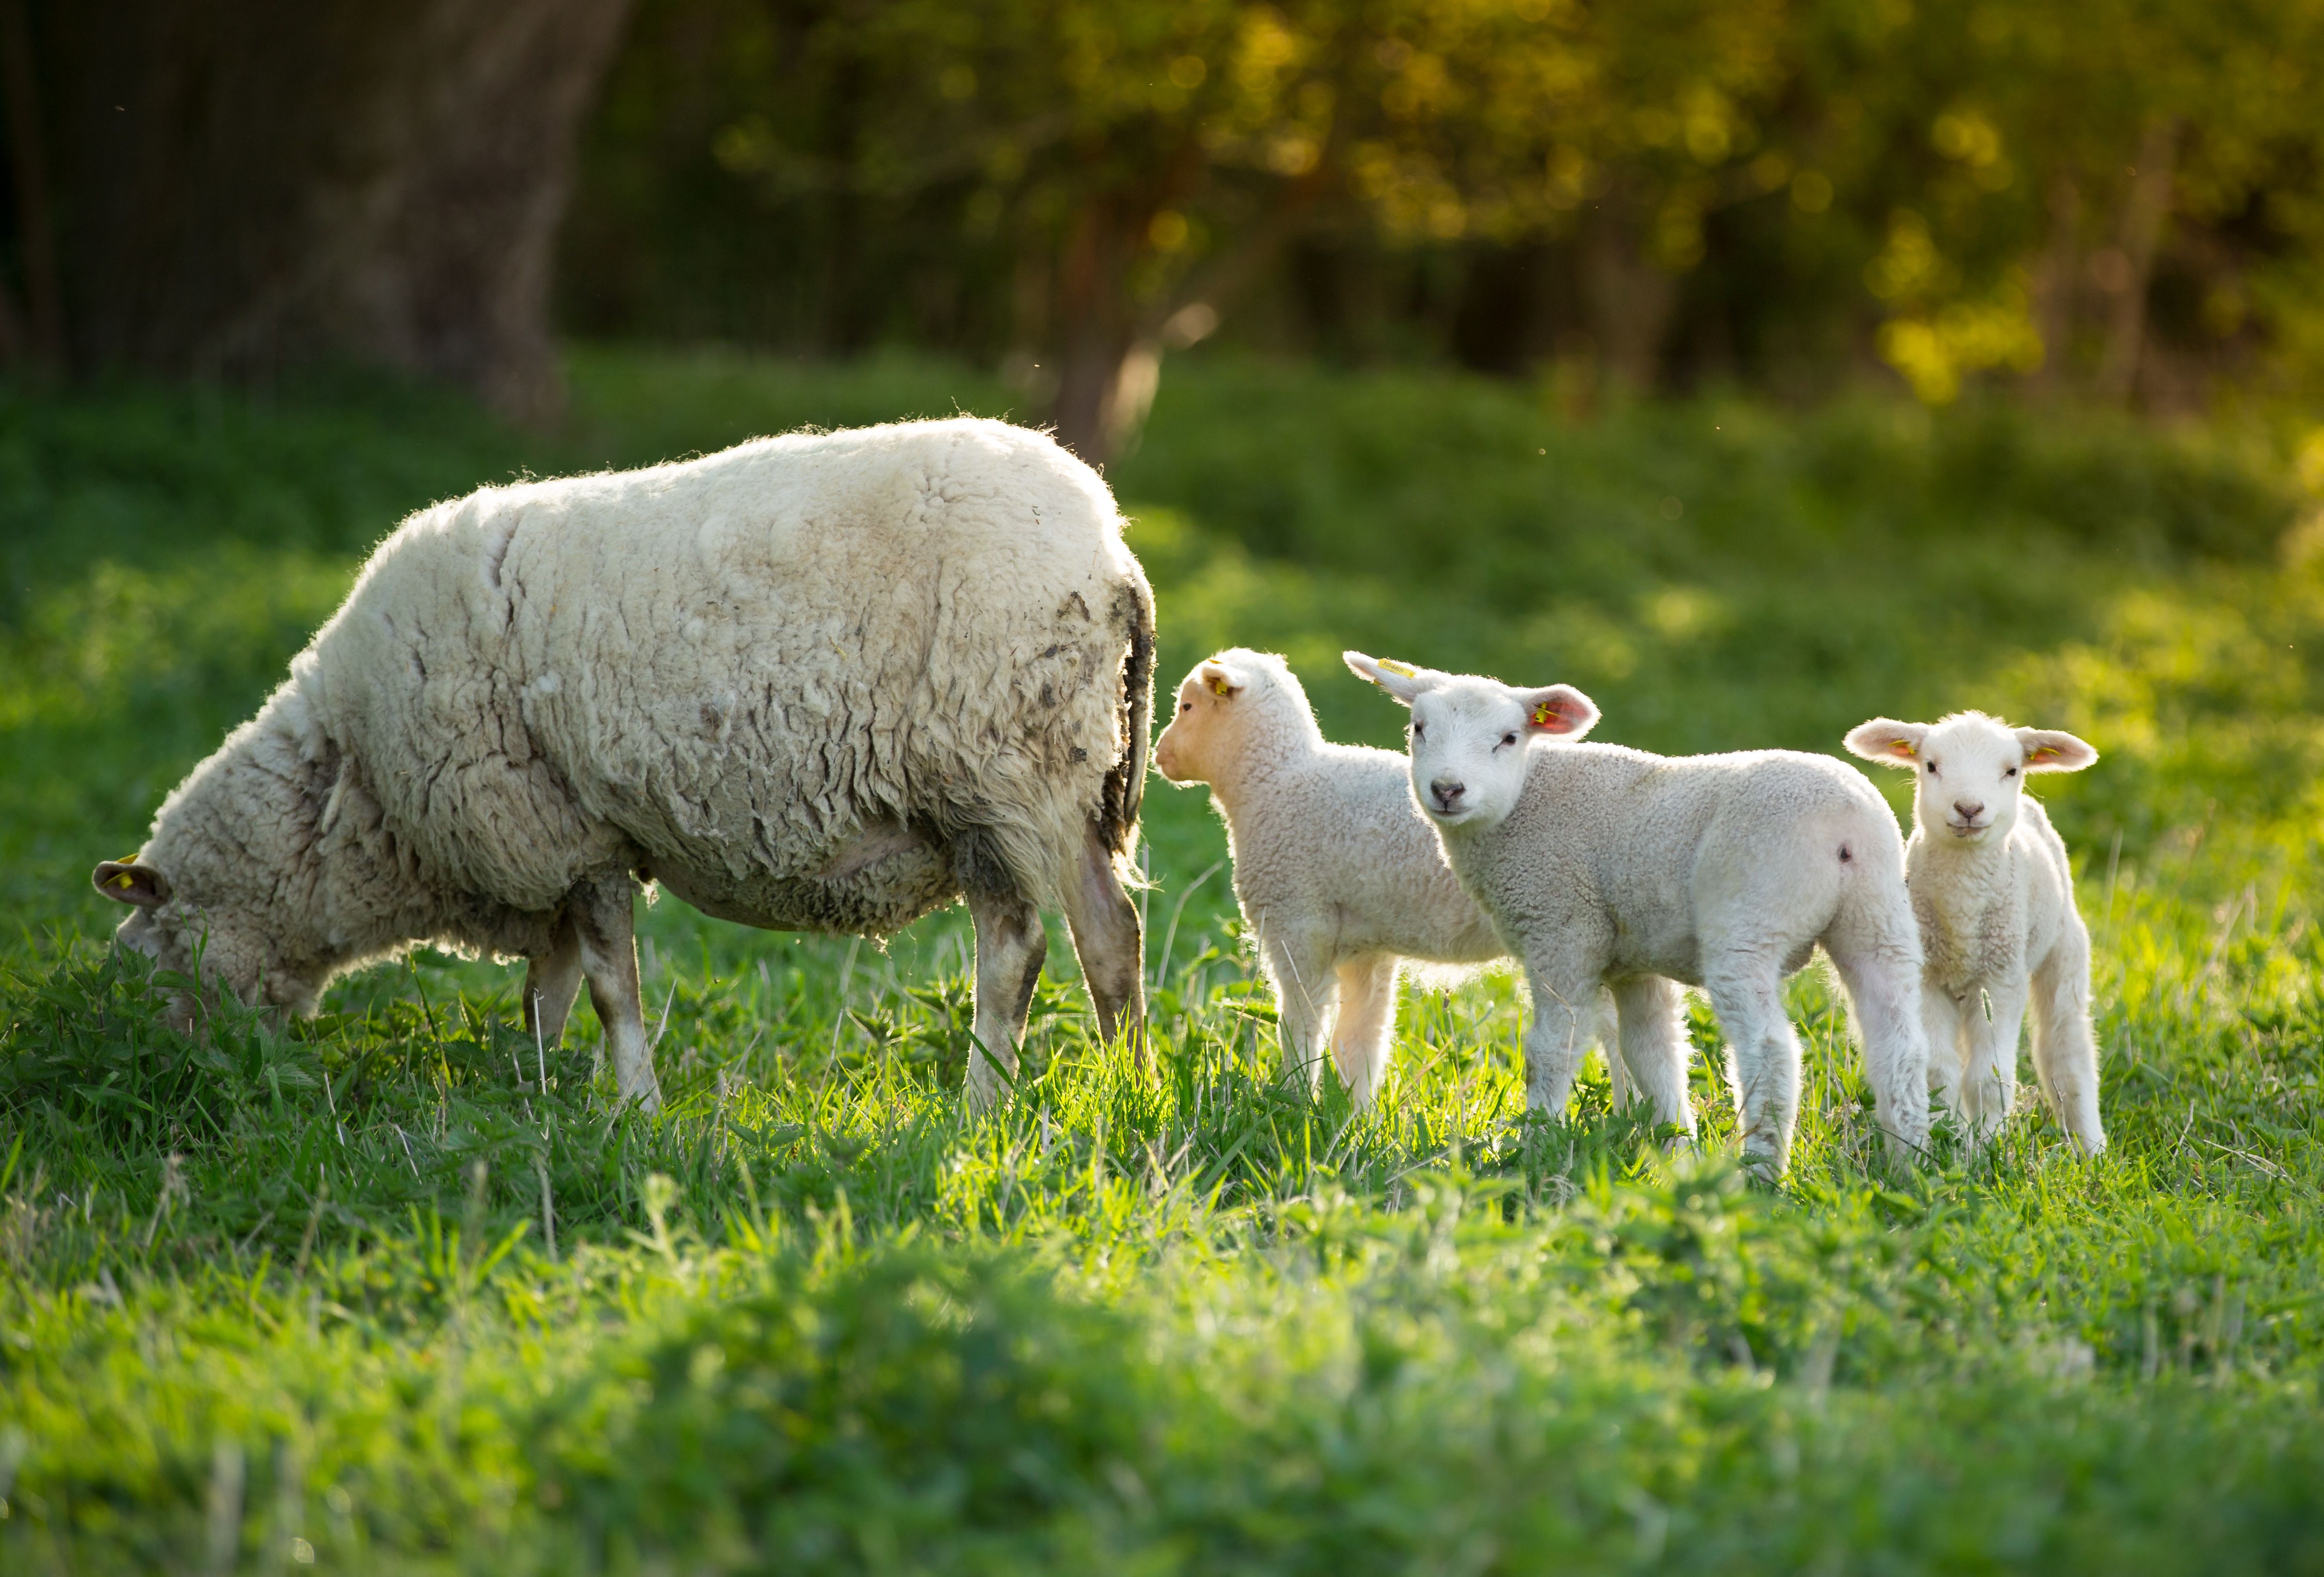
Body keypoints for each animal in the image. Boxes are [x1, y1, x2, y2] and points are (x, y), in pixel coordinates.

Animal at [90, 417, 1156, 1112]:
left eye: (163, 947)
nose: (171, 1073)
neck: (357, 799)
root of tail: (1113, 550)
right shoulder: (549, 850)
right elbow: (548, 993)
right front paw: (538, 1097)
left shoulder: (565, 829)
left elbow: (608, 988)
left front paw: (634, 1108)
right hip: (1065, 780)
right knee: (1112, 935)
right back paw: (1132, 1086)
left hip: (994, 773)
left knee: (1016, 950)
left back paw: (984, 1101)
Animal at [1151, 648, 1628, 1109]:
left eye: (1187, 705)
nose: (1159, 753)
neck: (1274, 781)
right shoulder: (1365, 947)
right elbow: (1361, 1041)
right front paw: (1351, 1116)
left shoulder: (1298, 921)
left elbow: (1302, 1027)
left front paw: (1292, 1100)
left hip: (1571, 928)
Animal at [1345, 652, 1931, 1172]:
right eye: (1418, 728)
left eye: (1509, 738)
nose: (1447, 789)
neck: (1523, 802)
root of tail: (1844, 826)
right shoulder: (1634, 961)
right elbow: (1654, 1055)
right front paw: (1676, 1153)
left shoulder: (1562, 930)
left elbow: (1551, 1050)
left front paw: (1534, 1146)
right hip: (1879, 918)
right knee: (1898, 1045)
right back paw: (1911, 1162)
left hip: (1750, 917)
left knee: (1769, 1051)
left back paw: (1763, 1171)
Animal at [1843, 712, 2104, 1154]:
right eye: (1931, 766)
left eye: (2012, 770)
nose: (1969, 808)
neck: (1962, 911)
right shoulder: (1929, 979)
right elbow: (1939, 1073)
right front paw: (1948, 1139)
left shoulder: (2002, 979)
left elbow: (1989, 1079)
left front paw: (1986, 1149)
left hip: (2062, 948)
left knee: (2065, 1049)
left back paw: (2090, 1146)